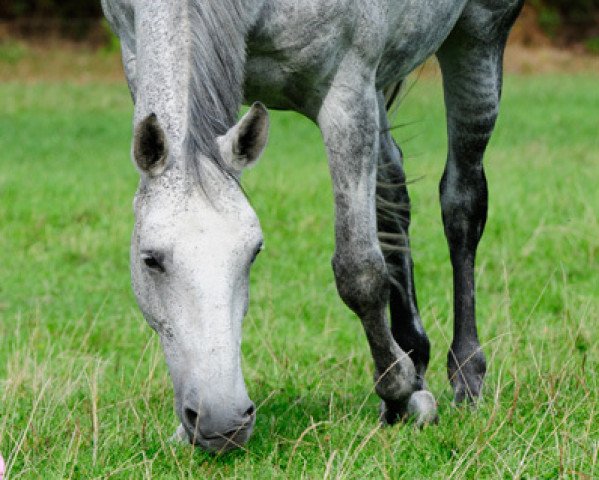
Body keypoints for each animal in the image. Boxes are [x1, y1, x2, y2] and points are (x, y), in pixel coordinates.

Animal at [103, 0, 524, 452]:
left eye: (254, 252)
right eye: (149, 259)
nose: (222, 422)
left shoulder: (348, 93)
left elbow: (359, 271)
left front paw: (397, 391)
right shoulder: (135, 61)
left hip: (479, 38)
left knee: (462, 205)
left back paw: (465, 375)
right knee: (392, 196)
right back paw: (415, 355)